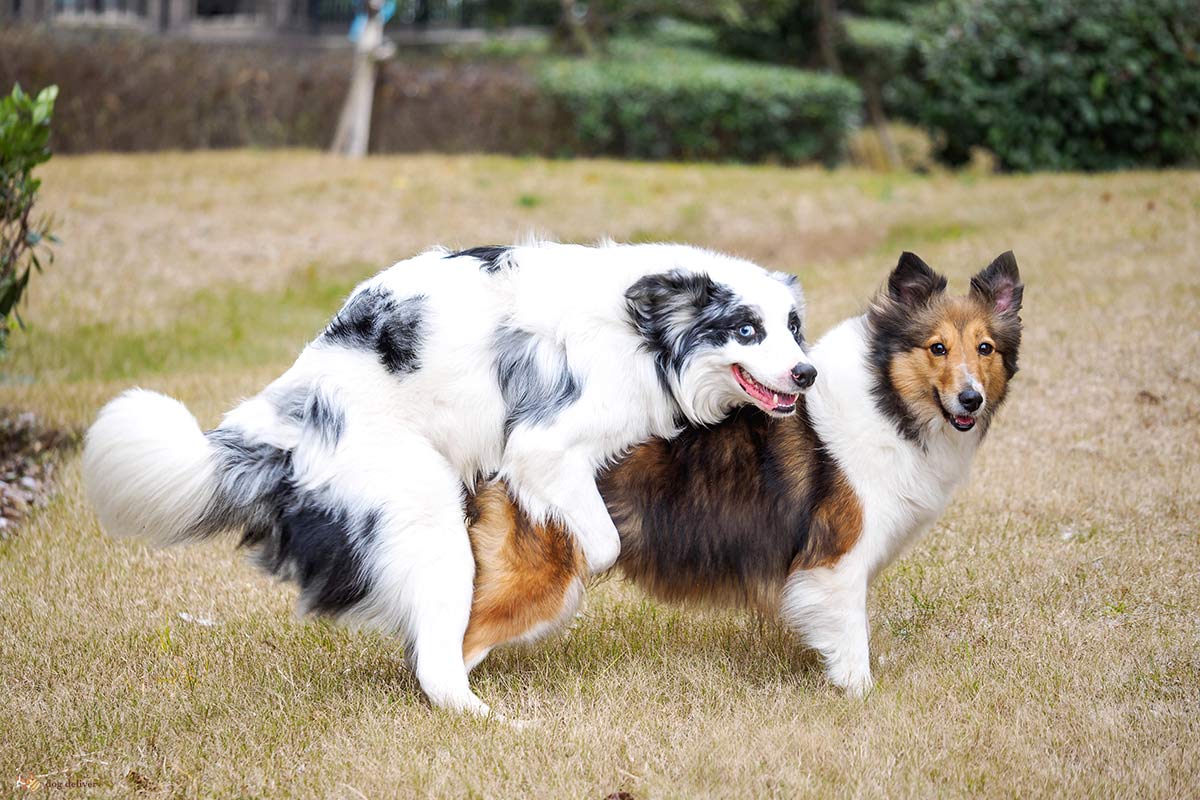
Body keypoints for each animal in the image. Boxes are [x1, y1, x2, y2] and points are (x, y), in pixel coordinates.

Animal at [84, 241, 816, 714]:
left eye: (792, 328)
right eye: (745, 330)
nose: (806, 373)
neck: (645, 331)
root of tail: (284, 417)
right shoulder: (544, 444)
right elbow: (602, 541)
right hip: (425, 514)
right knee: (435, 666)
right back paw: (489, 715)